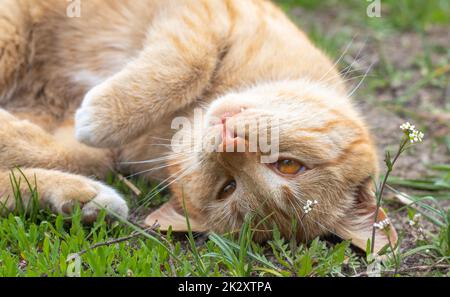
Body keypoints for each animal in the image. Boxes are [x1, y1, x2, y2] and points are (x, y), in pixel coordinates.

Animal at [0, 0, 394, 251]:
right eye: (289, 165)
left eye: (227, 188)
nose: (228, 139)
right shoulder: (208, 13)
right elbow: (188, 62)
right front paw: (103, 115)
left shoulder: (92, 149)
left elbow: (56, 151)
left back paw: (84, 201)